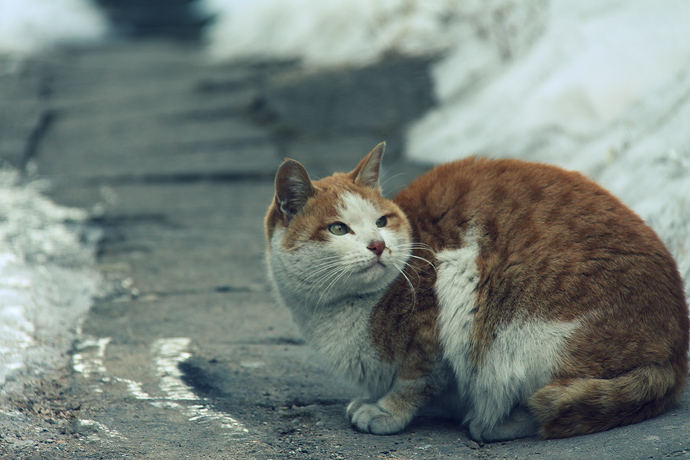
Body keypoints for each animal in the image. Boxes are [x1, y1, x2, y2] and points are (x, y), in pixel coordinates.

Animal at [260, 144, 684, 442]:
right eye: (338, 229)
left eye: (381, 221)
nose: (378, 245)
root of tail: (676, 356)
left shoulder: (439, 306)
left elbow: (416, 380)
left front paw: (386, 411)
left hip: (525, 335)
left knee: (553, 401)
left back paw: (492, 422)